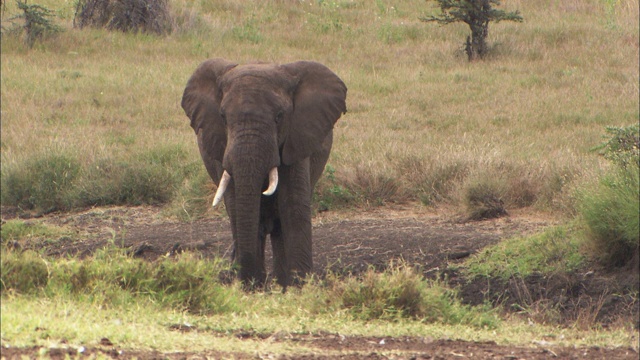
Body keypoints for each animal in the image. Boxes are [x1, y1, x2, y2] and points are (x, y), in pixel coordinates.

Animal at [180, 59, 348, 290]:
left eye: (279, 117)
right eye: (223, 117)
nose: (238, 275)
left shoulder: (297, 140)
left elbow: (294, 208)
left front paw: (299, 290)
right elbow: (238, 207)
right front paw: (252, 290)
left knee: (279, 227)